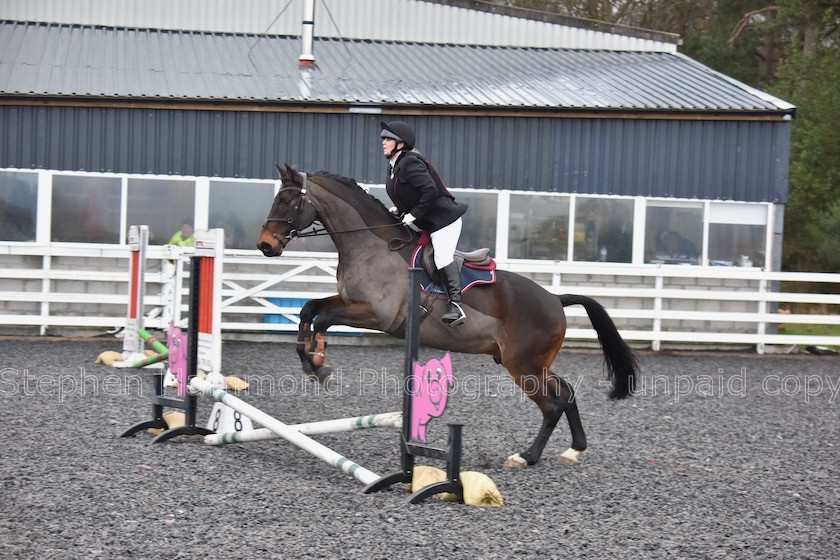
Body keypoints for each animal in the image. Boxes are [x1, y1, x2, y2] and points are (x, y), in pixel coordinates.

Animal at [256, 165, 636, 468]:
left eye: (287, 201)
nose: (265, 245)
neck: (369, 245)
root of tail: (556, 299)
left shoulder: (375, 315)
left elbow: (322, 319)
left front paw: (319, 364)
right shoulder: (350, 302)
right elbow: (309, 309)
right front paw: (307, 360)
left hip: (523, 365)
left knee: (552, 405)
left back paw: (526, 456)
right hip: (531, 362)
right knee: (566, 392)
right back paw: (575, 450)